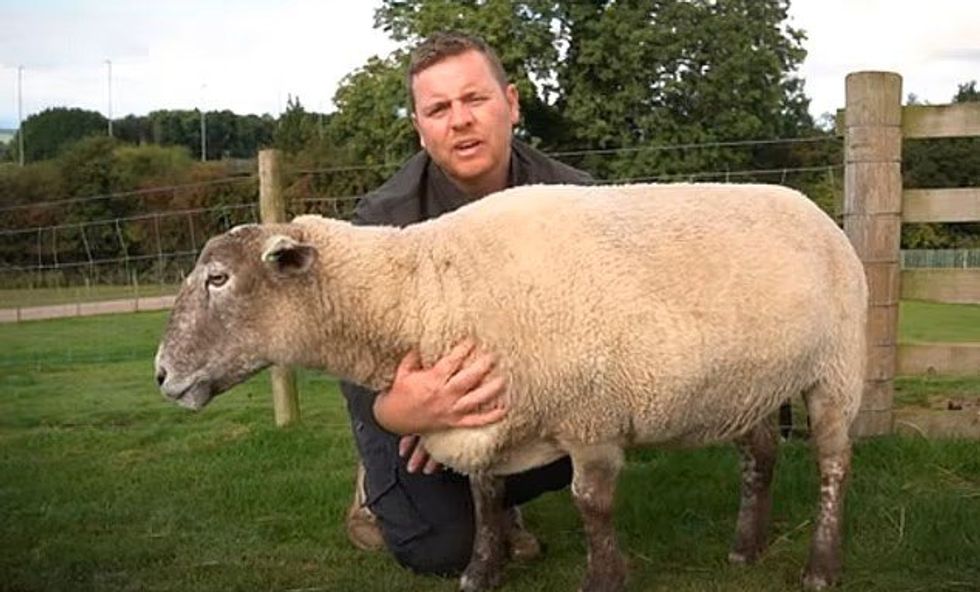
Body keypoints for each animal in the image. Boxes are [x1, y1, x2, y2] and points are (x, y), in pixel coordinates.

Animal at [154, 182, 867, 592]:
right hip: (746, 384)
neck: (424, 292)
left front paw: (603, 580)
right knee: (760, 458)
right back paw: (746, 549)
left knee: (833, 465)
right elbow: (484, 496)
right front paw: (482, 572)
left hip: (835, 369)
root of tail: (811, 206)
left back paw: (820, 566)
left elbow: (590, 504)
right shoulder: (478, 414)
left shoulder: (591, 416)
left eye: (217, 278)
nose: (162, 375)